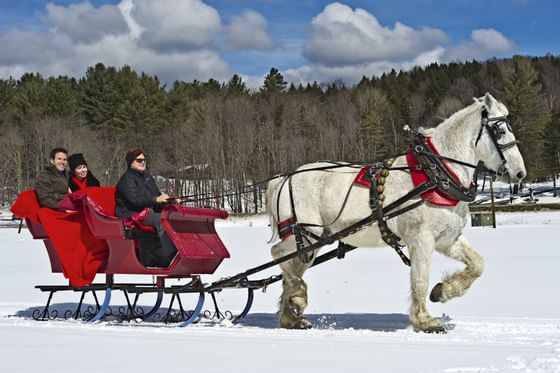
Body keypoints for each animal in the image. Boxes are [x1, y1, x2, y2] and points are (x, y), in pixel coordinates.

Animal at [266, 93, 524, 332]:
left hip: (312, 242)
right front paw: (425, 321)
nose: (520, 173)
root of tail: (283, 178)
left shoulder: (448, 238)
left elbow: (477, 264)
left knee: (291, 267)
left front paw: (443, 291)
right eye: (500, 131)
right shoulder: (422, 239)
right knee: (278, 255)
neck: (436, 175)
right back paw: (297, 297)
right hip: (307, 235)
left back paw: (291, 314)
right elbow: (420, 279)